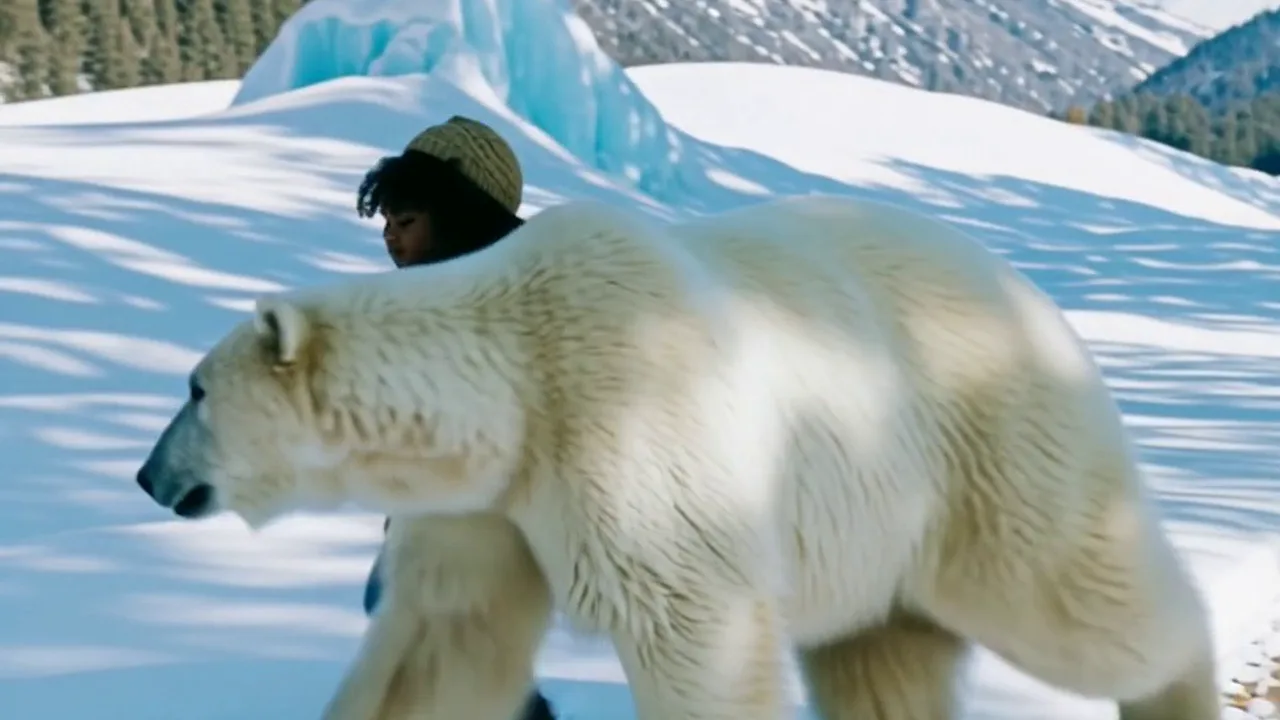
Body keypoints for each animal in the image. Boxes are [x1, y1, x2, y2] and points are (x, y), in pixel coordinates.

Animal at [134, 193, 1220, 720]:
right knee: (880, 668)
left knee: (1080, 605)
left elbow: (693, 631)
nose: (147, 476)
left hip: (982, 453)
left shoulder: (632, 435)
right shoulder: (490, 505)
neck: (517, 373)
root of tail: (1031, 296)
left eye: (193, 387)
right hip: (879, 541)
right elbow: (443, 647)